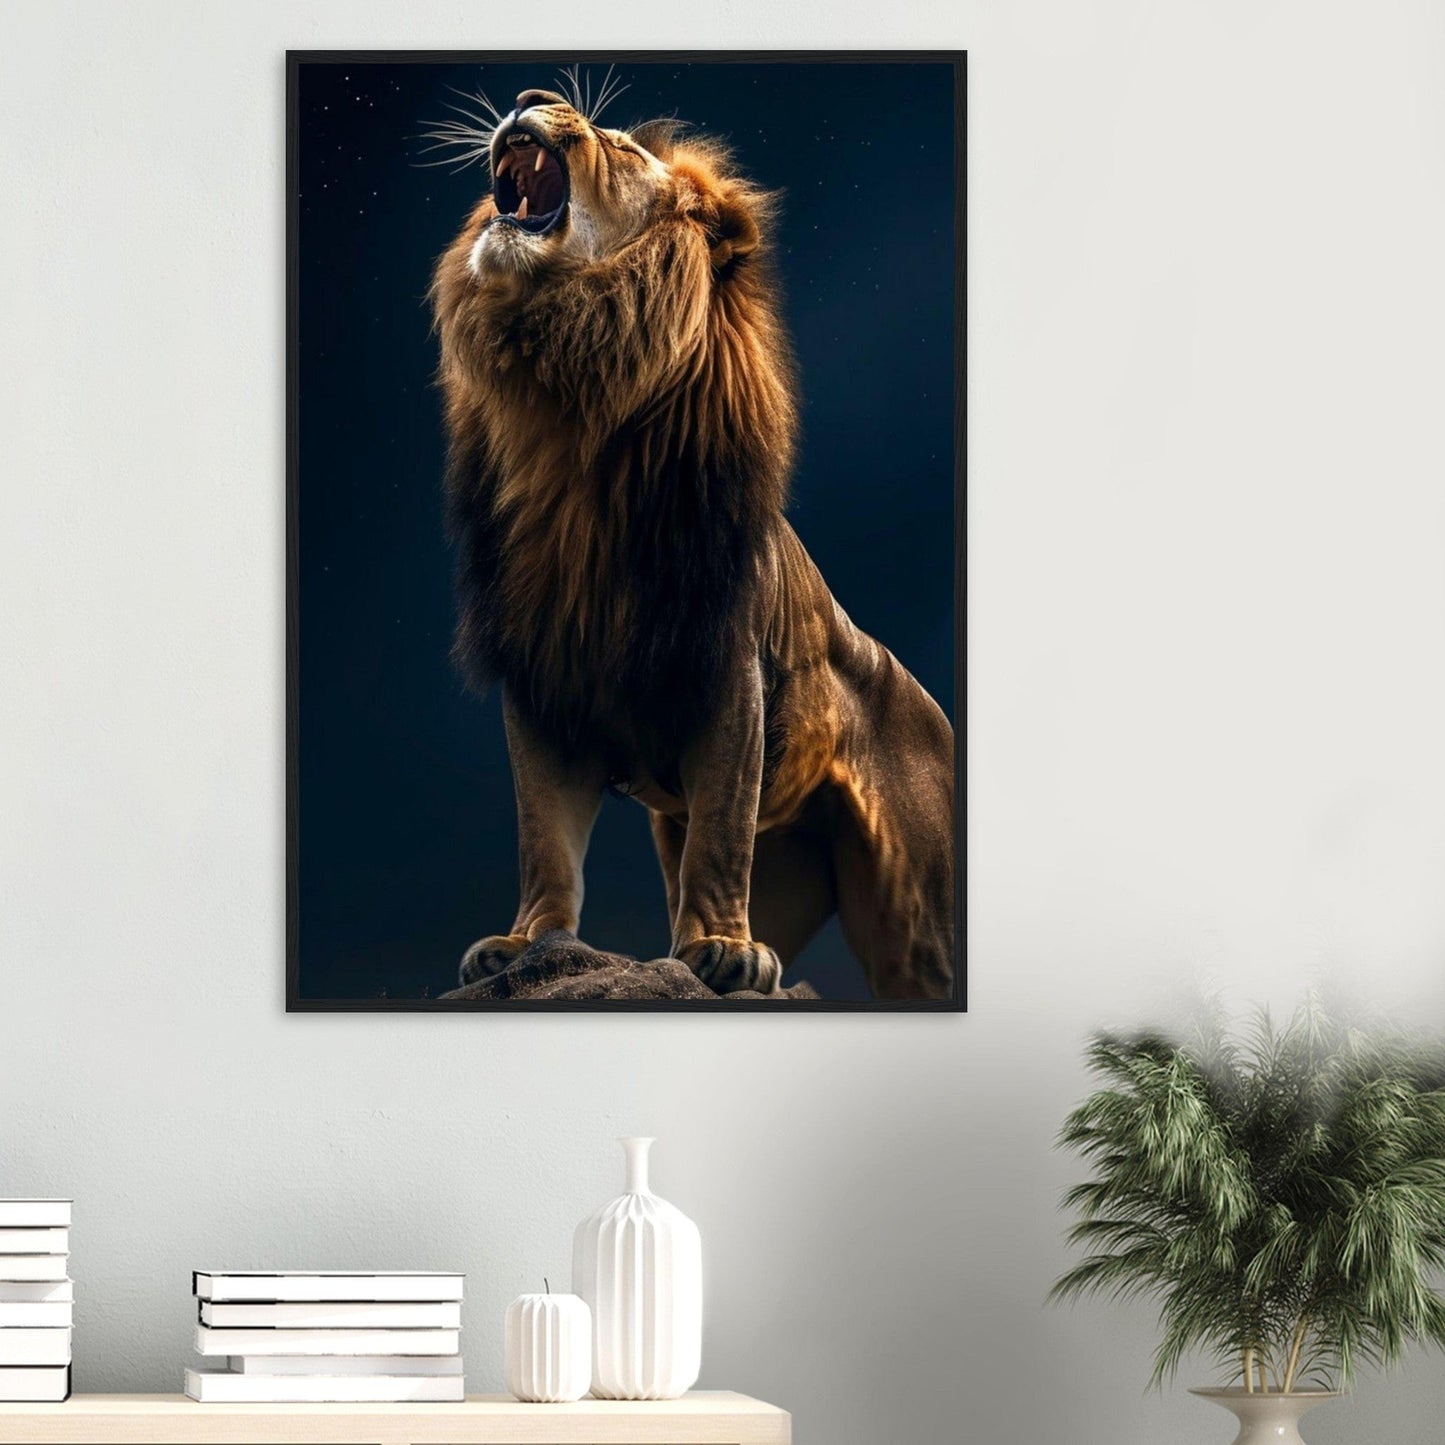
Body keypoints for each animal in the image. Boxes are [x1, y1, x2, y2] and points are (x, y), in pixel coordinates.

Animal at [429, 86, 955, 1000]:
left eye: (618, 148)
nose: (531, 98)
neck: (564, 410)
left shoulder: (725, 668)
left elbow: (719, 826)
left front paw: (721, 949)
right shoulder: (540, 675)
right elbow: (544, 836)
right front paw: (525, 941)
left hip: (917, 921)